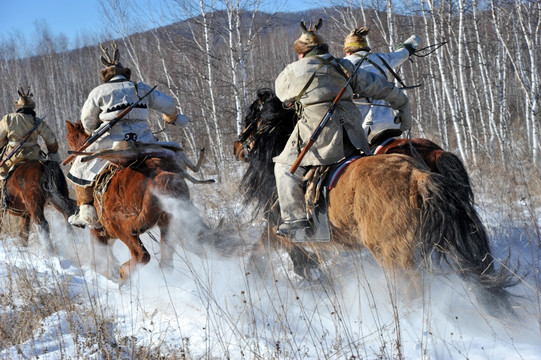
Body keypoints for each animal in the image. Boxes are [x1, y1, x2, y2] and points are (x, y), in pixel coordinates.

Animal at [66, 121, 213, 282]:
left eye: (70, 138)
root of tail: (158, 176)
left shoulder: (100, 232)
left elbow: (99, 261)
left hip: (123, 228)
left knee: (142, 256)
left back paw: (123, 276)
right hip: (168, 224)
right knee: (166, 260)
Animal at [232, 88, 516, 316]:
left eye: (250, 116)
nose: (237, 147)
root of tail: (419, 175)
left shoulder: (286, 230)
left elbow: (266, 249)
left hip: (392, 254)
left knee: (412, 288)